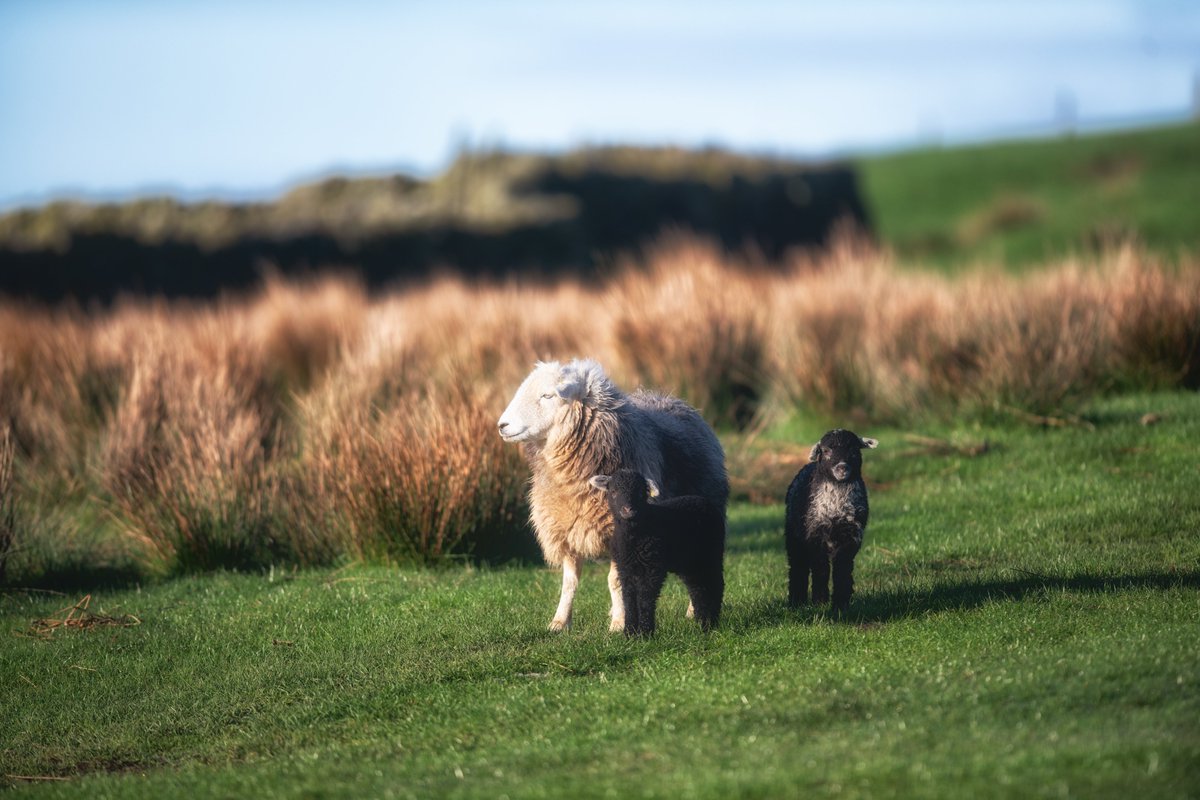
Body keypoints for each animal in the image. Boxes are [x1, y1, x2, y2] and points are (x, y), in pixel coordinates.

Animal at [589, 469, 725, 636]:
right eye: (613, 491)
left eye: (641, 493)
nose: (628, 509)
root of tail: (704, 501)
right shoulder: (625, 568)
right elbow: (628, 598)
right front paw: (629, 632)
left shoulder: (652, 567)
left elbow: (645, 598)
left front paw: (645, 633)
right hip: (689, 562)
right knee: (697, 587)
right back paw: (702, 622)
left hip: (712, 553)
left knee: (715, 583)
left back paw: (712, 622)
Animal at [784, 429, 878, 614]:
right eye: (826, 450)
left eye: (854, 449)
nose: (842, 468)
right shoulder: (815, 535)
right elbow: (821, 569)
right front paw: (820, 601)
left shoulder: (851, 536)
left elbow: (842, 569)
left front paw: (841, 603)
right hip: (793, 535)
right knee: (797, 566)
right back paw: (797, 602)